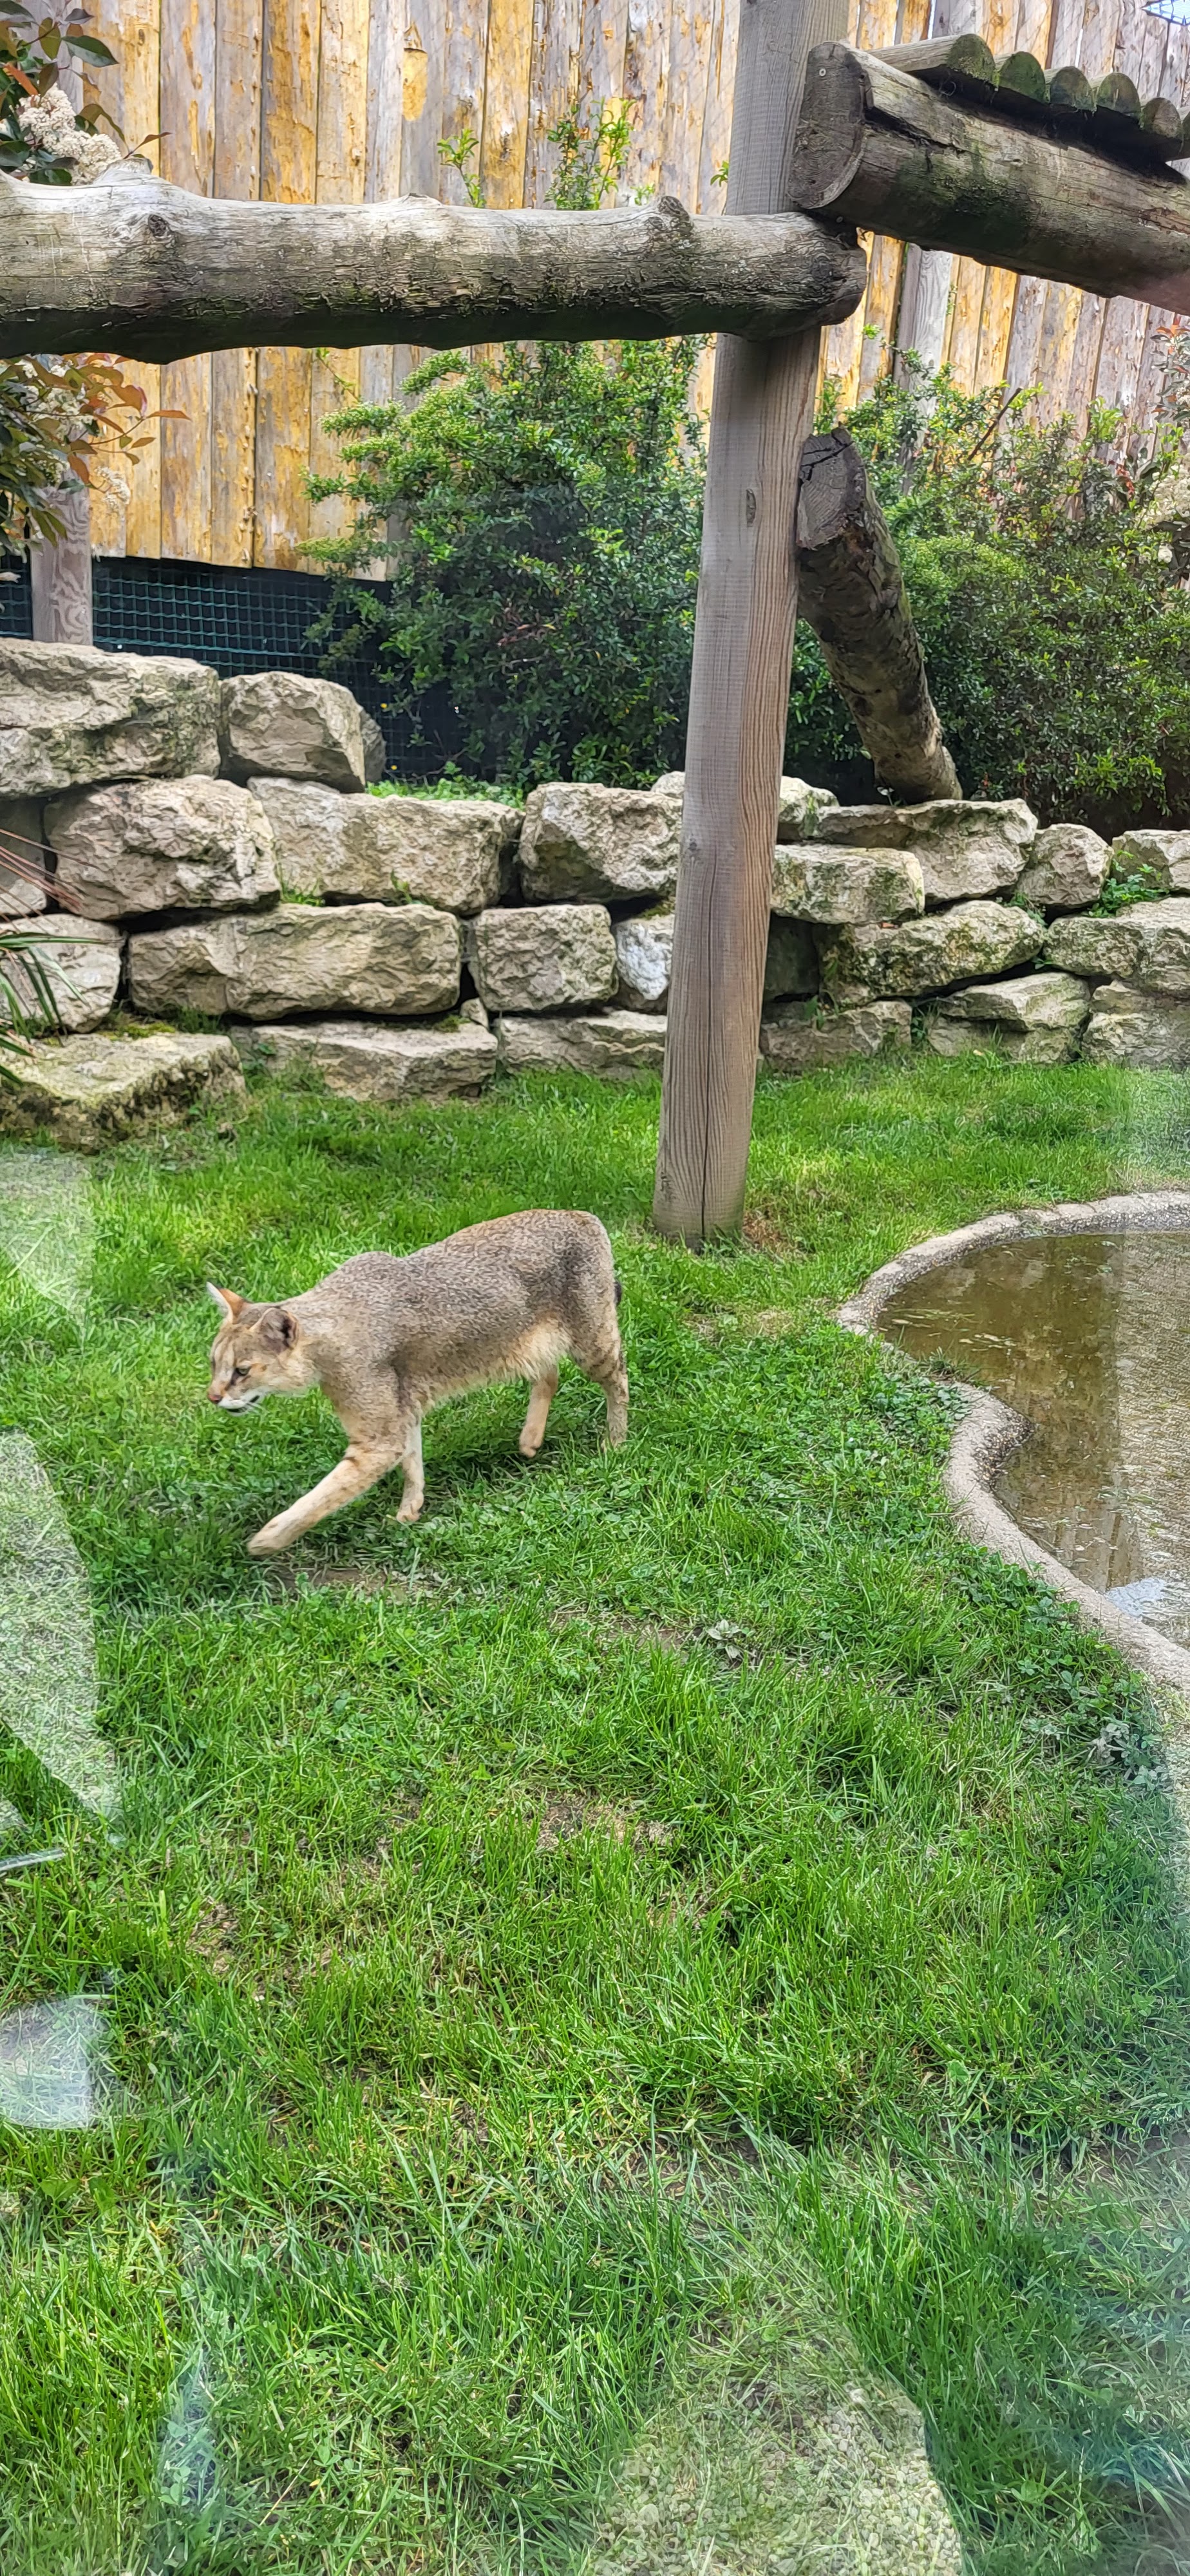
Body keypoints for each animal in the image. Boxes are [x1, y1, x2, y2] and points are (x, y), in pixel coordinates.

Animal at [206, 1208, 627, 1557]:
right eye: (213, 1364)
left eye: (242, 1371)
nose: (213, 1397)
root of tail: (582, 1214)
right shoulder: (402, 1412)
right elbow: (413, 1462)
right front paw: (410, 1509)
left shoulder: (378, 1440)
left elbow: (323, 1496)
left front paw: (270, 1538)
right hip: (526, 1346)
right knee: (550, 1374)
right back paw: (530, 1438)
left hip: (593, 1344)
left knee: (620, 1379)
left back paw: (616, 1442)